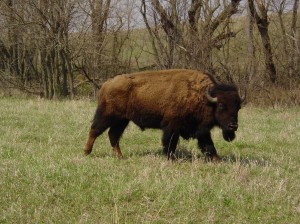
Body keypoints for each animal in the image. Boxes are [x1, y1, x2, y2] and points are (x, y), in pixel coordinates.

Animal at [83, 69, 243, 160]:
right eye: (221, 106)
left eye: (238, 107)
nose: (233, 126)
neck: (203, 96)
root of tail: (106, 84)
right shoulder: (172, 126)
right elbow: (170, 143)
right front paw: (170, 158)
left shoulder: (201, 130)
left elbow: (209, 146)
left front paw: (217, 160)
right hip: (108, 115)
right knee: (95, 130)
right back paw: (86, 152)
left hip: (122, 120)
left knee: (113, 135)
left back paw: (120, 157)